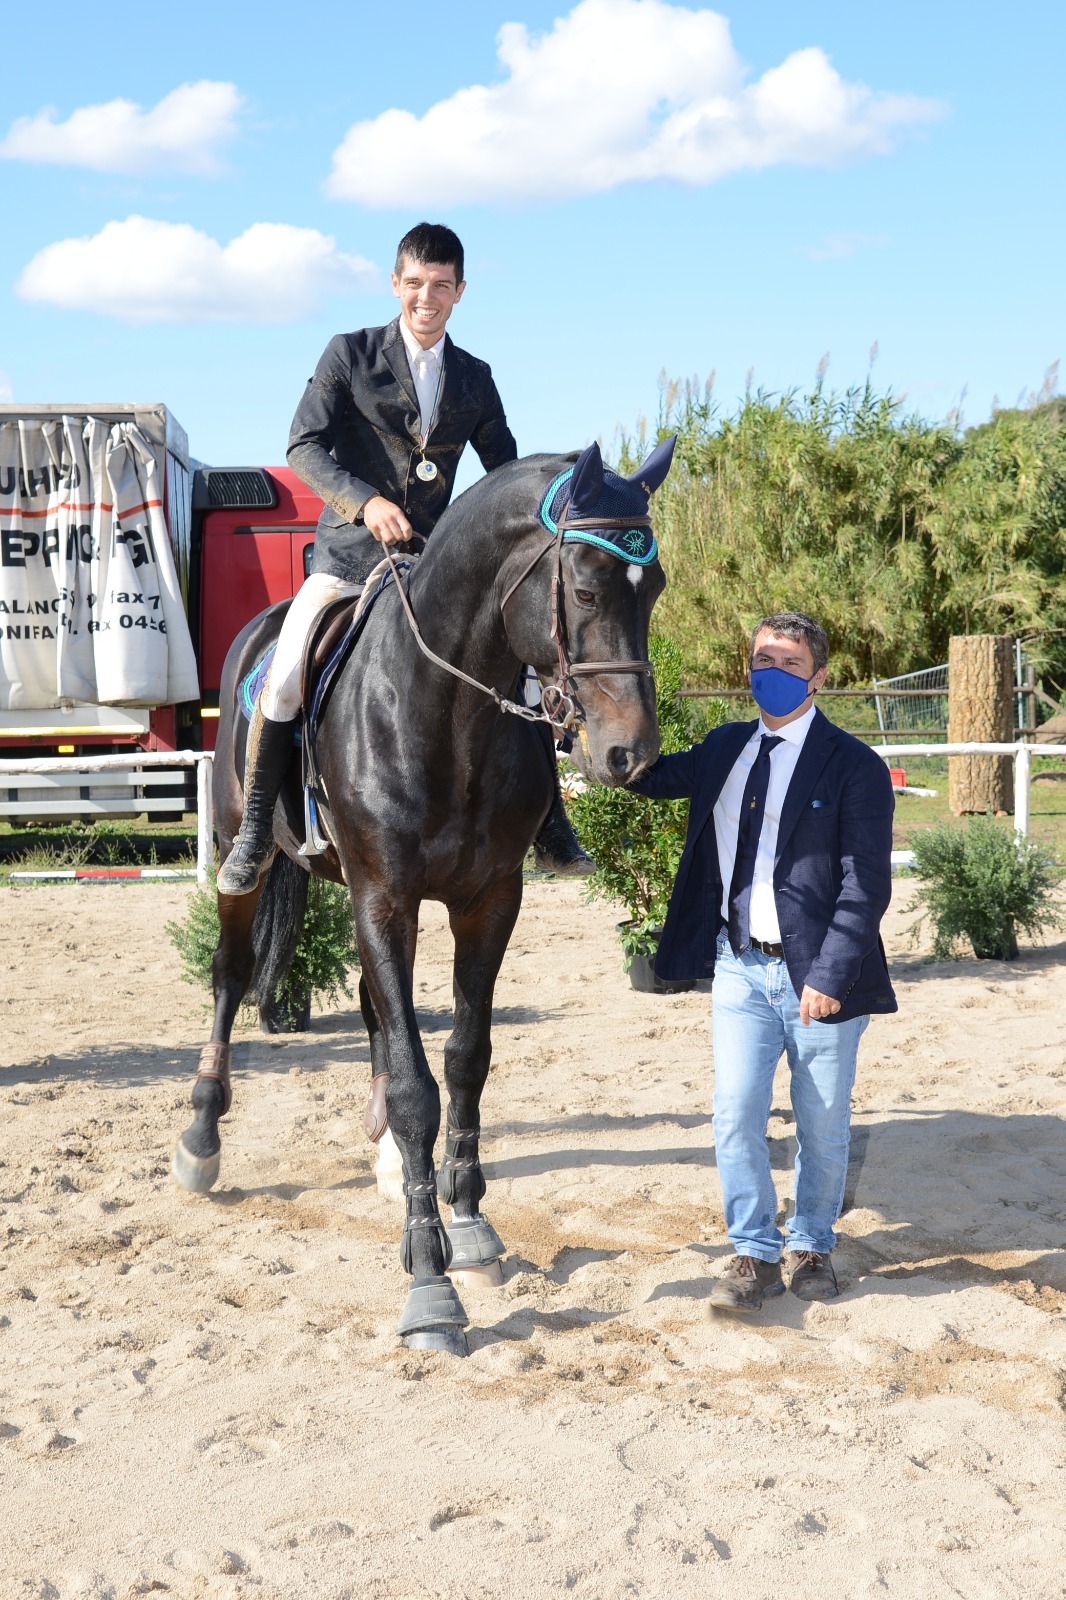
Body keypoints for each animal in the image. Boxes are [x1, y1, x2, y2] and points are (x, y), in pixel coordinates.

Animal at [173, 438, 672, 1350]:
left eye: (651, 587)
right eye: (585, 588)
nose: (631, 754)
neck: (442, 712)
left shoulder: (489, 902)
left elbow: (464, 1061)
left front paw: (466, 1223)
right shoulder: (386, 897)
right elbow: (415, 1088)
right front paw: (430, 1283)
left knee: (377, 1012)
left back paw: (381, 1162)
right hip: (241, 858)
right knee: (229, 977)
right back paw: (200, 1136)